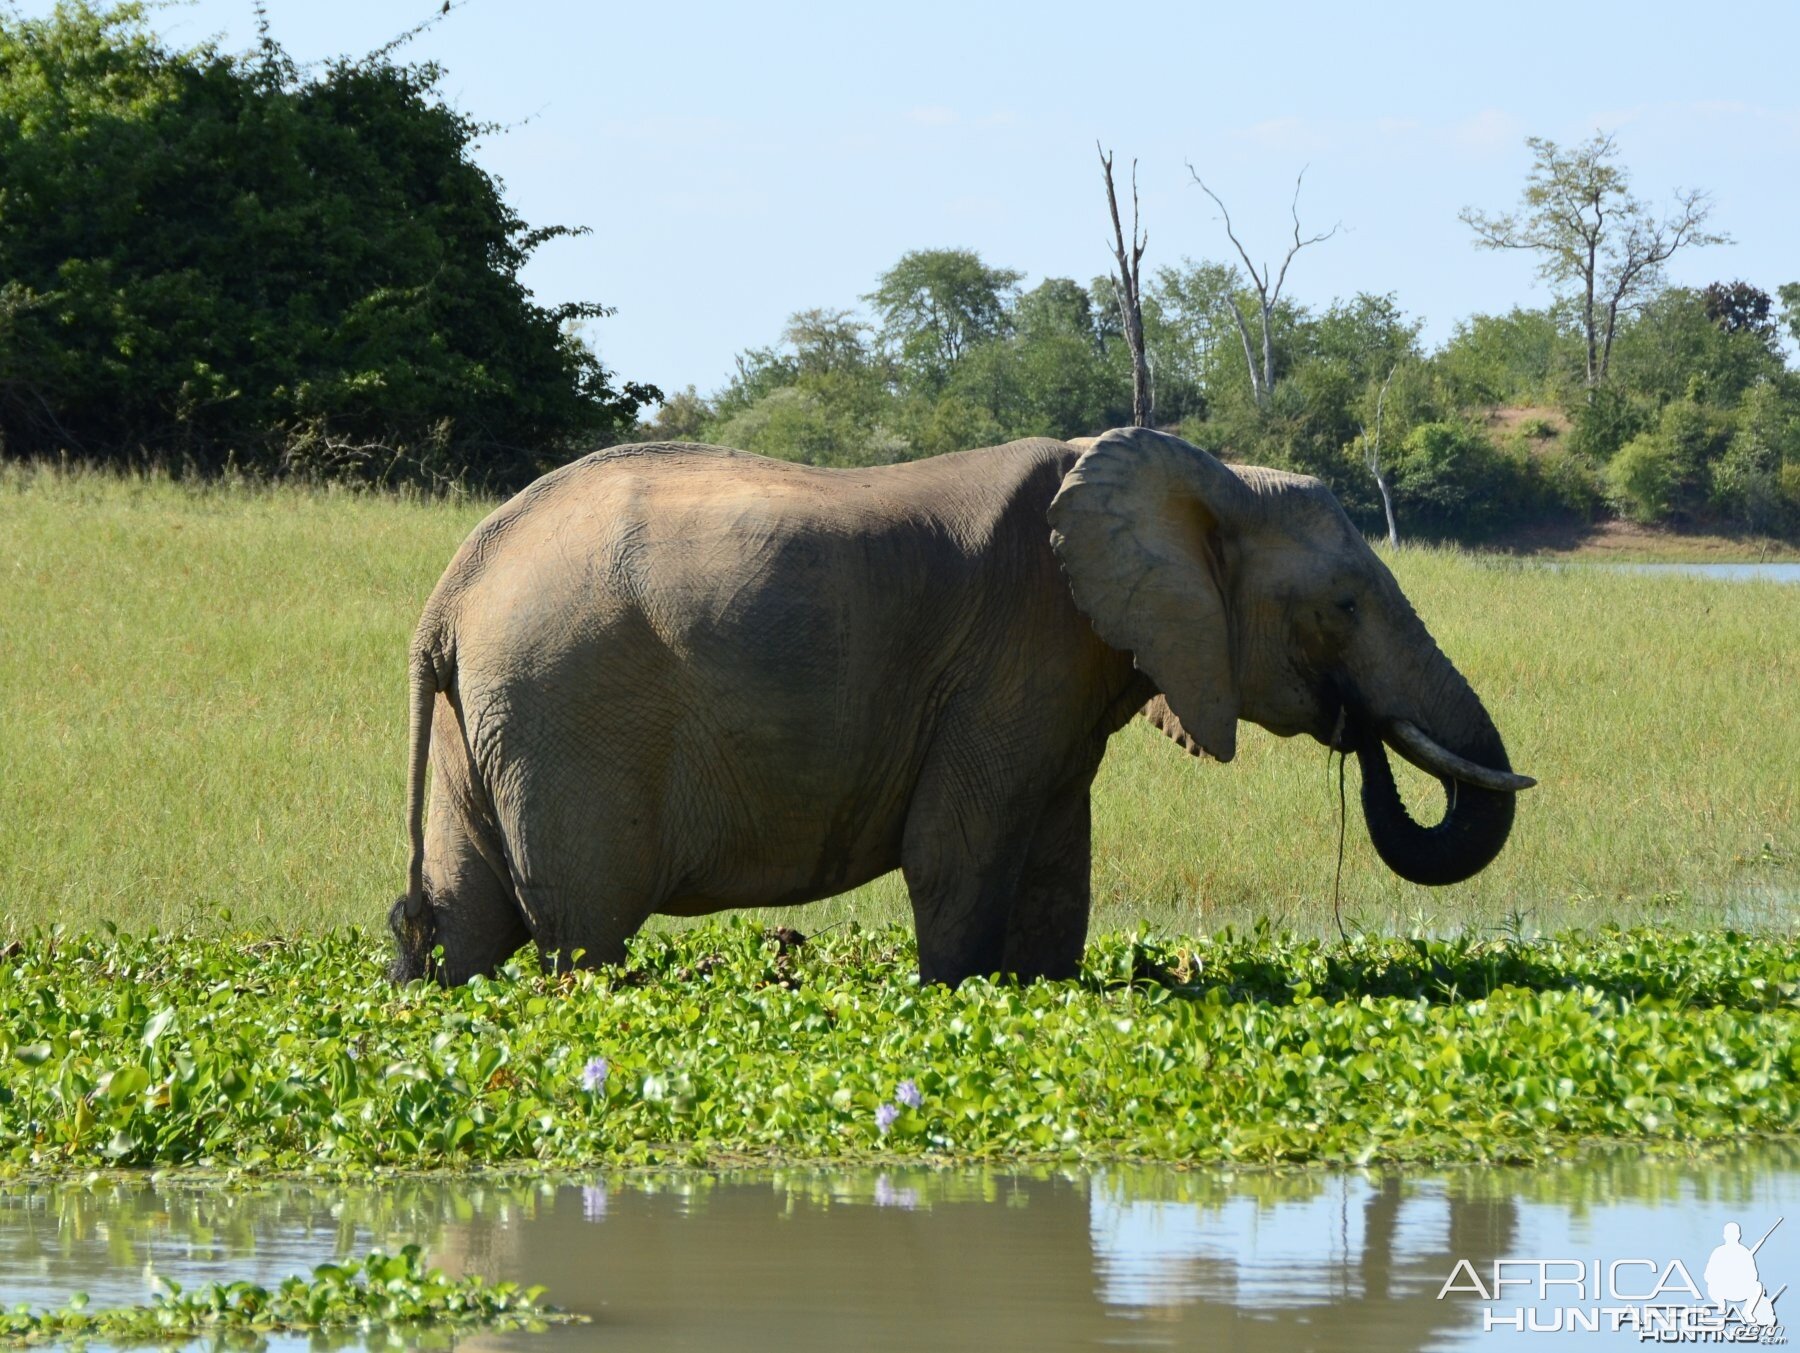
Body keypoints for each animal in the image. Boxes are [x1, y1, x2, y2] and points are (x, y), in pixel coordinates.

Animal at [383, 428, 1533, 985]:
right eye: (1341, 607)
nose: (1361, 732)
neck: (1208, 478)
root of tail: (452, 590)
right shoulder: (1012, 658)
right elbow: (959, 856)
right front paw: (957, 998)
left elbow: (1057, 872)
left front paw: (1040, 995)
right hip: (570, 713)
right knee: (582, 934)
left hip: (493, 719)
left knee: (467, 915)